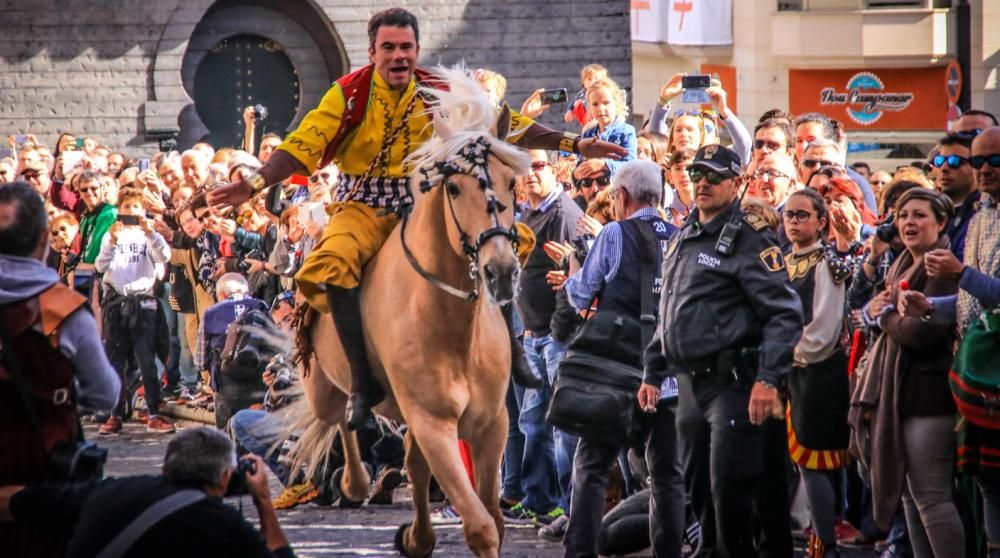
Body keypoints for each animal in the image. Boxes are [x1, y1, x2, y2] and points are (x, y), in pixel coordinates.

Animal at [294, 69, 528, 558]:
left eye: (511, 184)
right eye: (454, 188)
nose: (499, 271)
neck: (454, 325)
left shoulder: (491, 424)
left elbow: (492, 518)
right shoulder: (434, 423)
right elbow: (481, 525)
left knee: (412, 465)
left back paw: (414, 533)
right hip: (325, 388)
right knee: (340, 419)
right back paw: (356, 480)